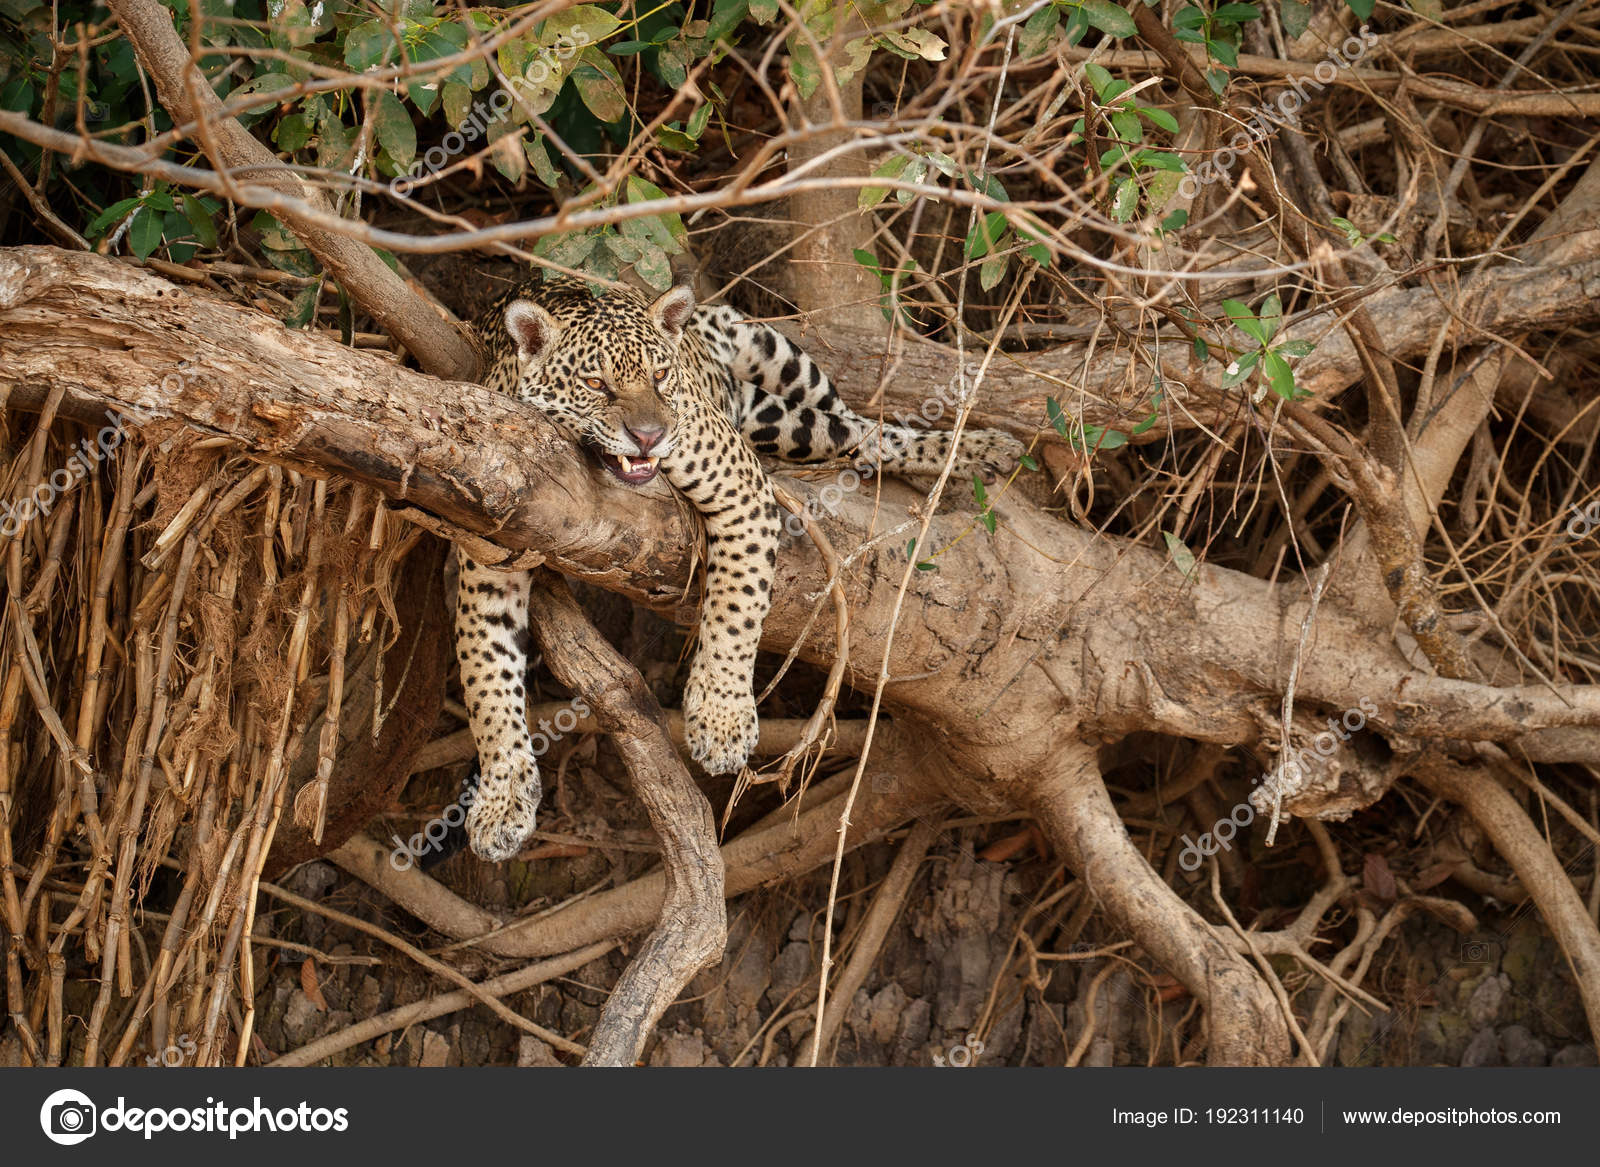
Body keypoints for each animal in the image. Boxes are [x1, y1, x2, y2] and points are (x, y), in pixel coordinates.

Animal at [455, 277, 1023, 862]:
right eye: (595, 383)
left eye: (661, 376)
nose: (649, 436)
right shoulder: (490, 548)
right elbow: (484, 675)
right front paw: (500, 802)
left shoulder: (740, 487)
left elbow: (736, 607)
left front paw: (722, 720)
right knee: (858, 434)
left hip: (783, 375)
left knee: (866, 428)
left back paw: (985, 449)